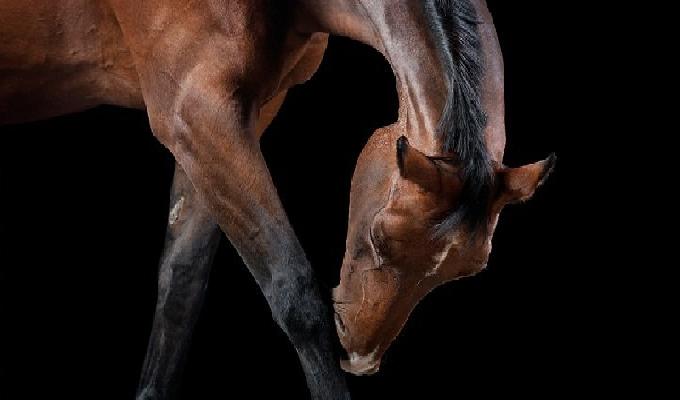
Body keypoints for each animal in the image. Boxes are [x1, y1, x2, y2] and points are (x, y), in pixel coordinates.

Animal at [0, 0, 552, 400]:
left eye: (466, 271)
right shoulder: (195, 112)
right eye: (379, 238)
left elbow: (180, 288)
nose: (360, 359)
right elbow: (295, 297)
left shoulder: (231, 117)